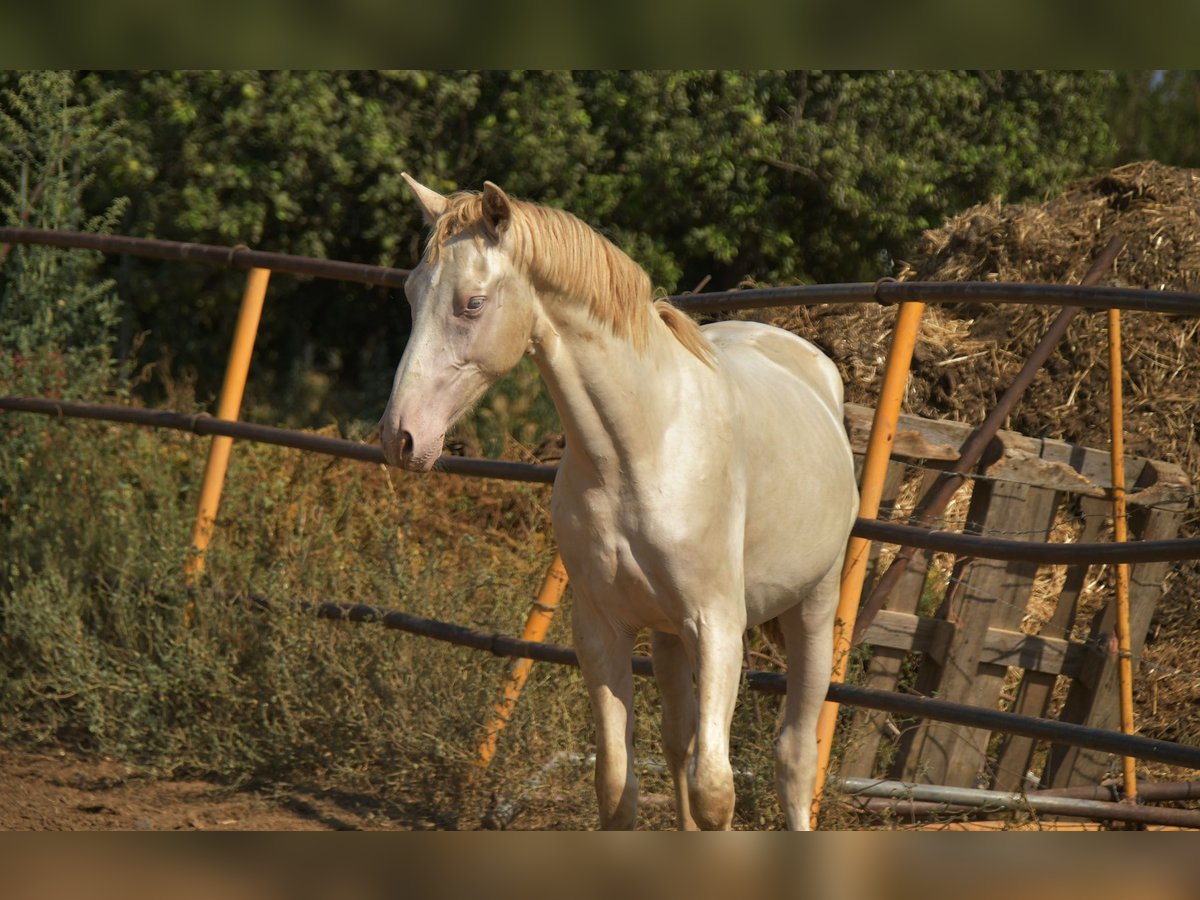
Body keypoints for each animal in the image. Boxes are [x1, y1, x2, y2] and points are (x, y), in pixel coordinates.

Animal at [379, 176, 859, 830]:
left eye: (472, 303)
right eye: (409, 294)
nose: (399, 437)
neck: (642, 445)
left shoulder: (718, 628)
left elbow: (715, 791)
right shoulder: (602, 630)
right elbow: (617, 786)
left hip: (813, 606)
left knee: (793, 756)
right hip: (669, 635)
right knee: (679, 741)